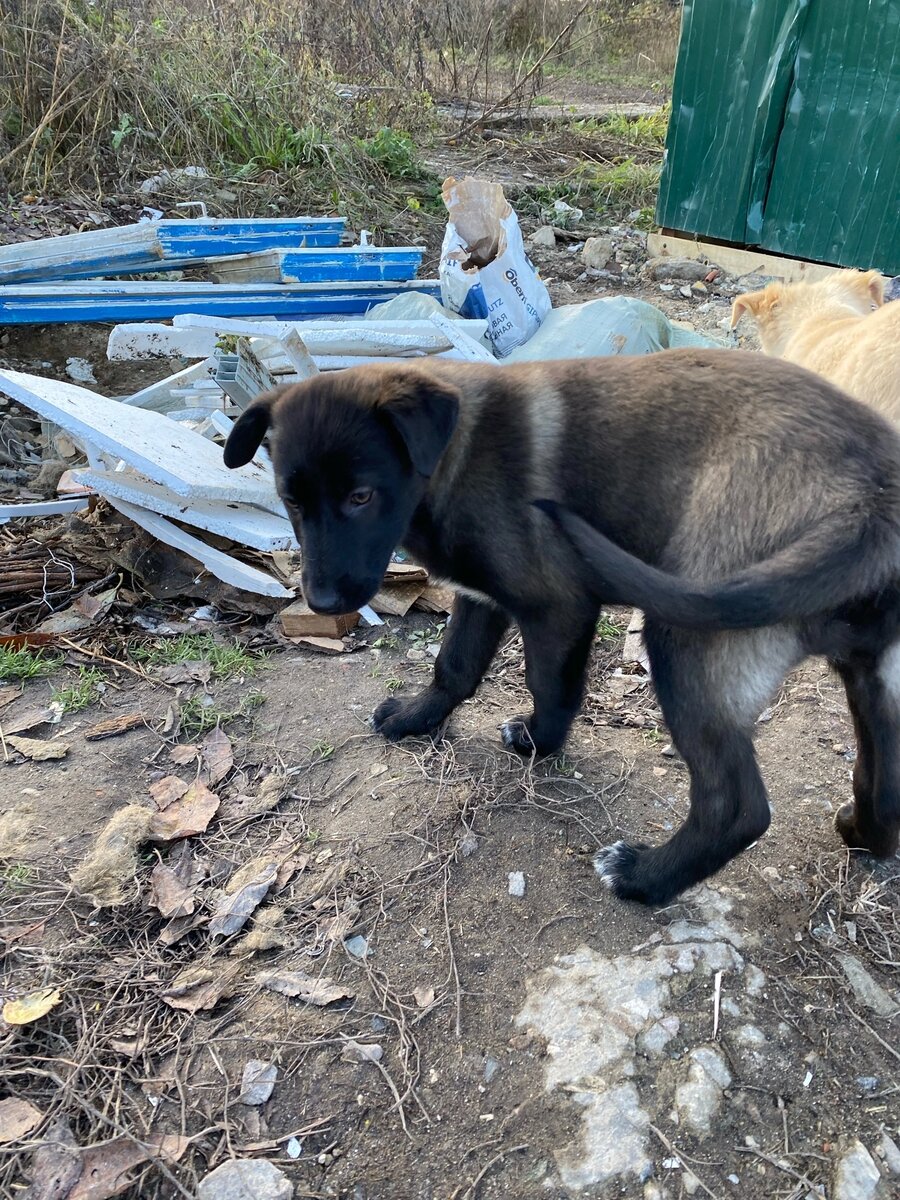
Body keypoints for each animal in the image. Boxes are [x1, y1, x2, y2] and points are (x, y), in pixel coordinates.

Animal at [224, 350, 900, 902]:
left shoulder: (556, 604)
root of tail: (873, 503)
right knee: (885, 783)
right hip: (877, 681)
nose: (321, 600)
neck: (453, 455)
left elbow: (550, 687)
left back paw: (644, 879)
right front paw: (418, 717)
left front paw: (537, 742)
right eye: (291, 500)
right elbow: (454, 666)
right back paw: (861, 831)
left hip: (685, 633)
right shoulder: (481, 597)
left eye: (362, 497)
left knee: (736, 807)